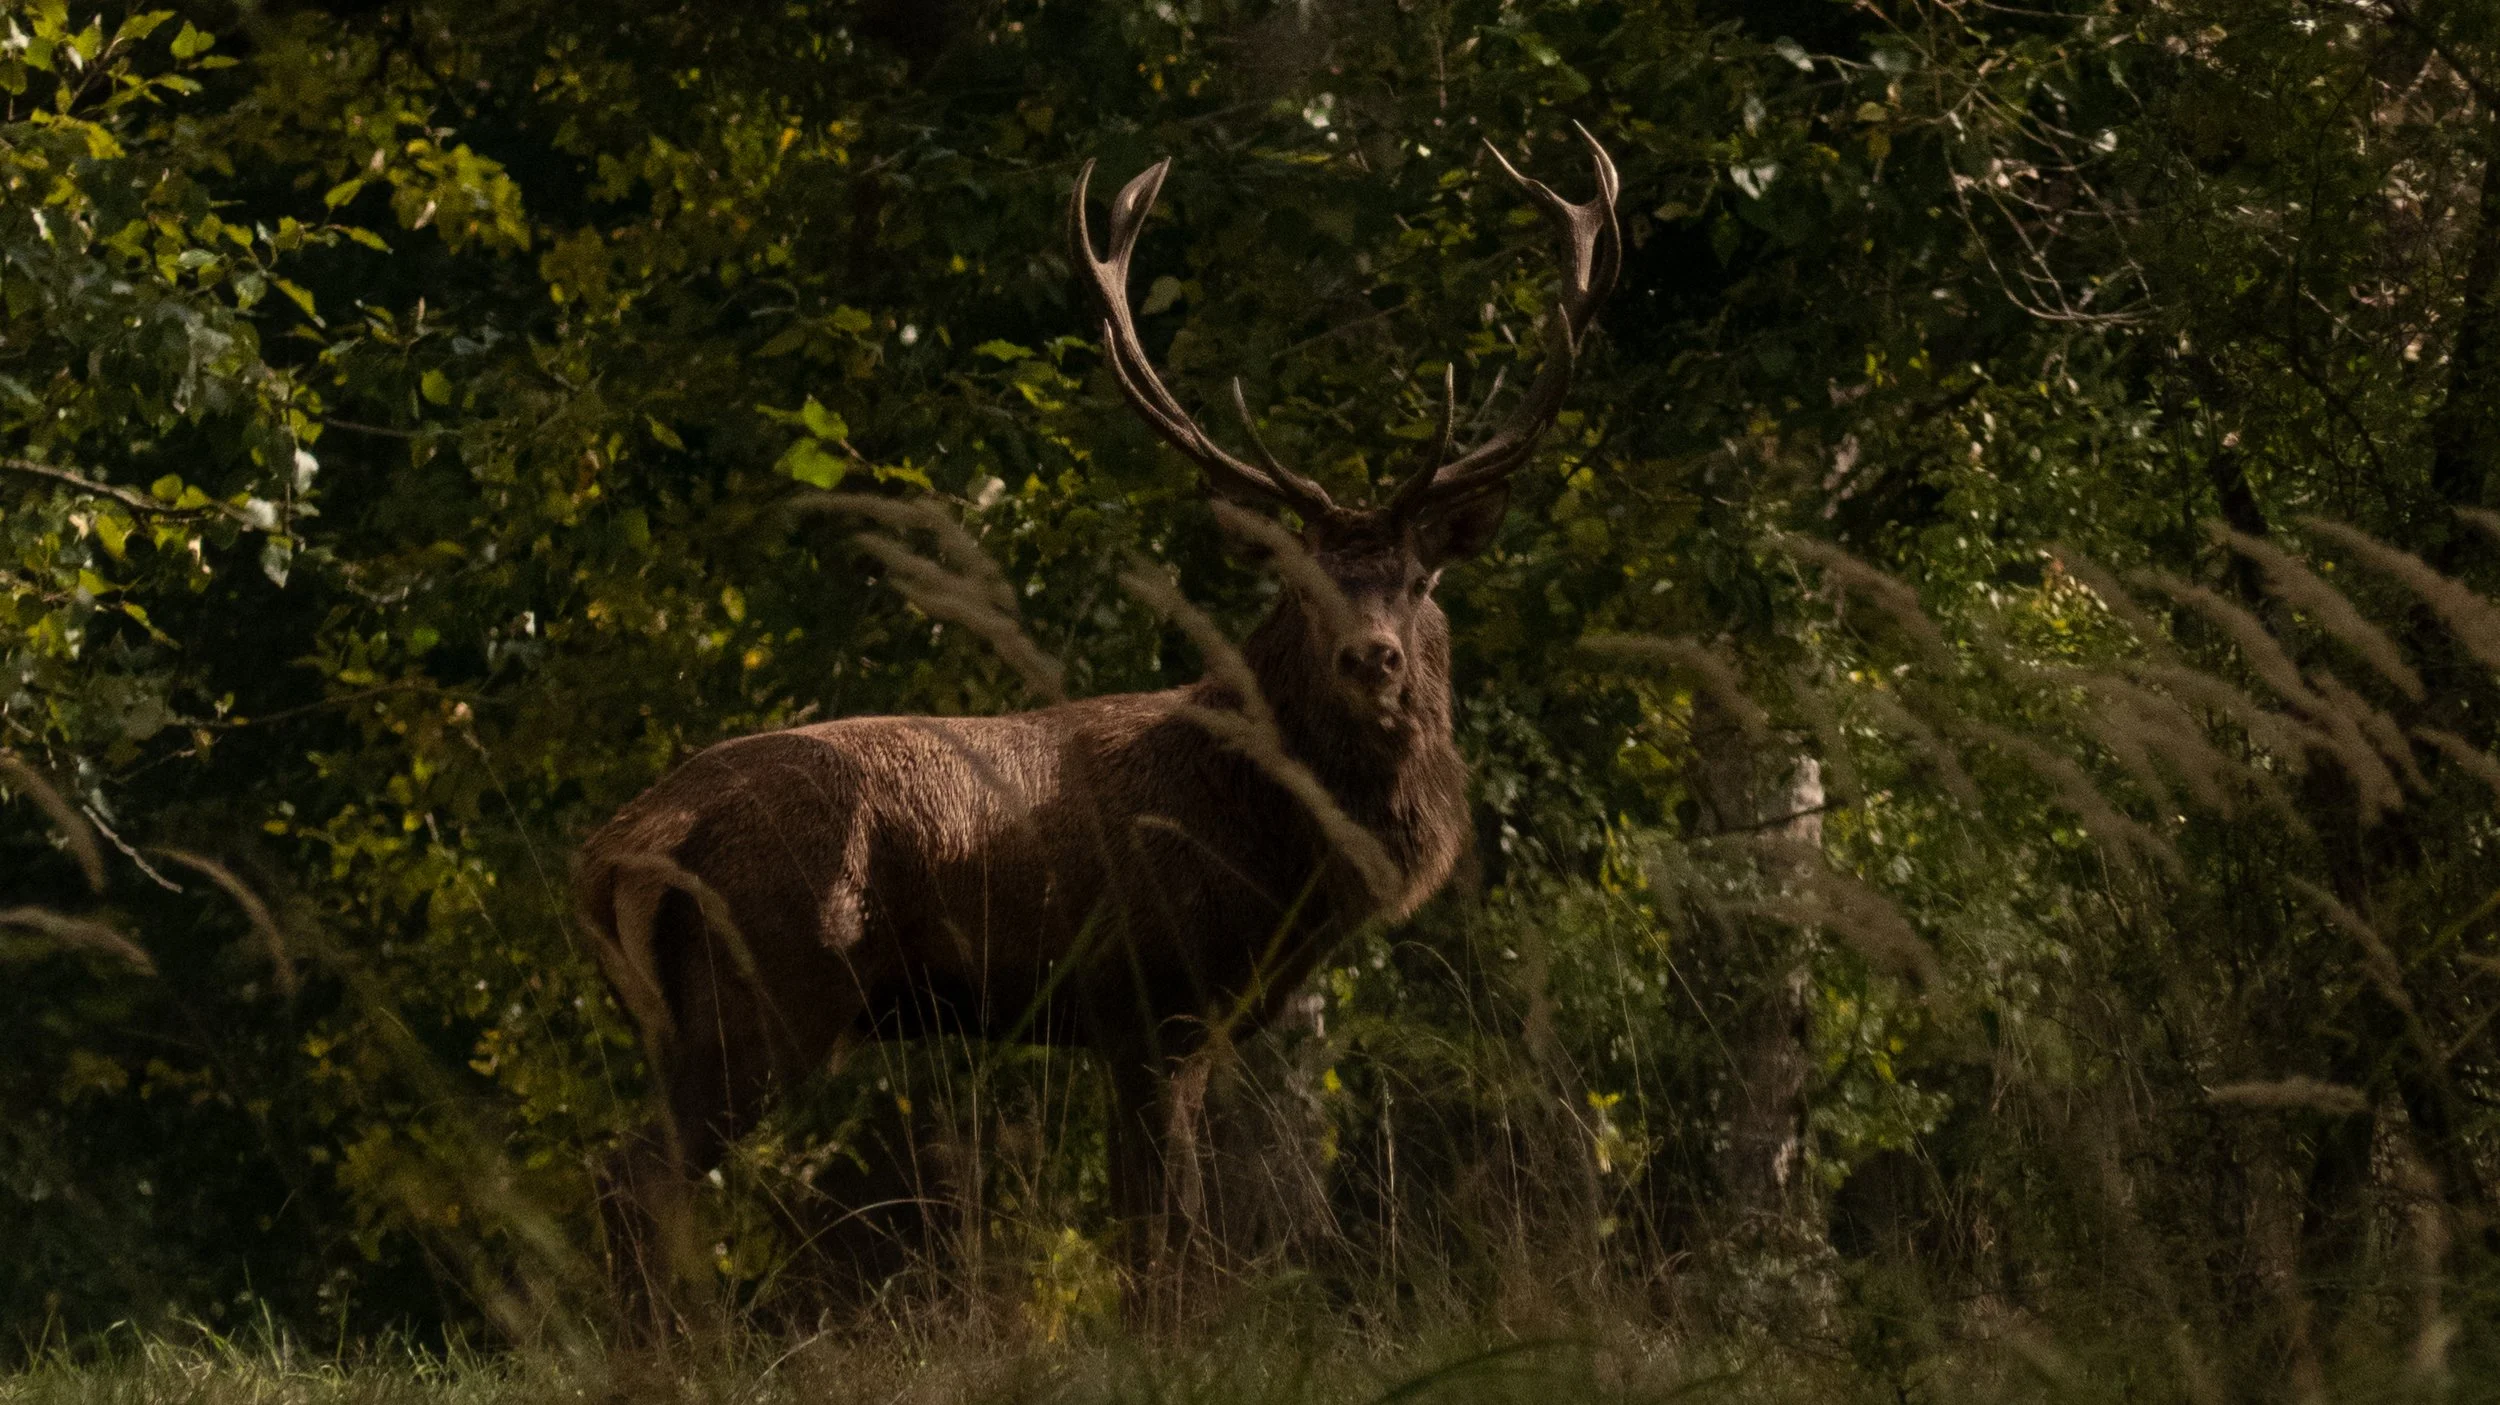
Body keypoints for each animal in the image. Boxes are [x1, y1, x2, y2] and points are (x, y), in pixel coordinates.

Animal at [574, 129, 1619, 1320]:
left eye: (1414, 577)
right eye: (1303, 582)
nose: (1373, 656)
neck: (1278, 850)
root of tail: (624, 843)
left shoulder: (1138, 1027)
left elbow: (1146, 1232)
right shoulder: (1157, 996)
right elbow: (1168, 1239)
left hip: (681, 1018)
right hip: (771, 983)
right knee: (636, 1175)